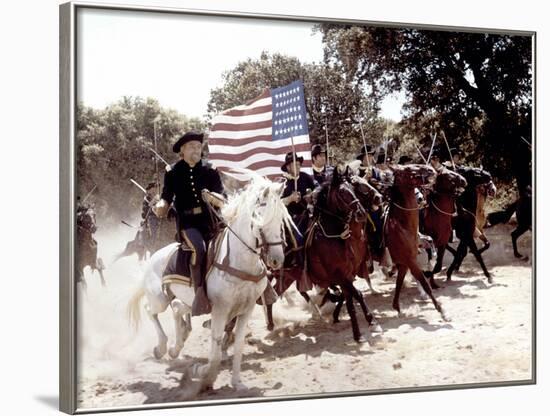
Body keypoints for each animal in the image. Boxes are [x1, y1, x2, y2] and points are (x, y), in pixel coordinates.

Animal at [128, 174, 294, 392]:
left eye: (281, 220)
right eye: (260, 222)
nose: (276, 259)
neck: (239, 261)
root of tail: (154, 256)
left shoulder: (246, 309)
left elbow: (238, 344)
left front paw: (237, 382)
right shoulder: (220, 310)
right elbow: (215, 350)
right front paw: (204, 374)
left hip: (187, 301)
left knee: (177, 308)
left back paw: (175, 348)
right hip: (159, 299)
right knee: (151, 310)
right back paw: (162, 347)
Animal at [386, 164, 450, 320]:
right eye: (408, 169)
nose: (430, 169)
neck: (402, 226)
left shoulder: (404, 263)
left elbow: (399, 283)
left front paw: (397, 308)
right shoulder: (410, 261)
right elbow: (424, 283)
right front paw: (442, 311)